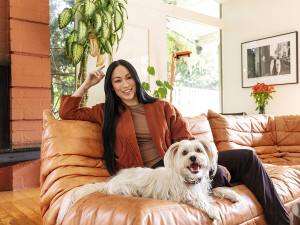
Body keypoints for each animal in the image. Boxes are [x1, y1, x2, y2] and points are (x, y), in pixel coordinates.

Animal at [57, 139, 240, 223]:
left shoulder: (203, 189)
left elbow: (215, 190)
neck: (189, 179)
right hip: (126, 189)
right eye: (184, 153)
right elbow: (200, 200)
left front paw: (233, 194)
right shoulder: (183, 196)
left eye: (199, 150)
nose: (193, 157)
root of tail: (109, 183)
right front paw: (213, 210)